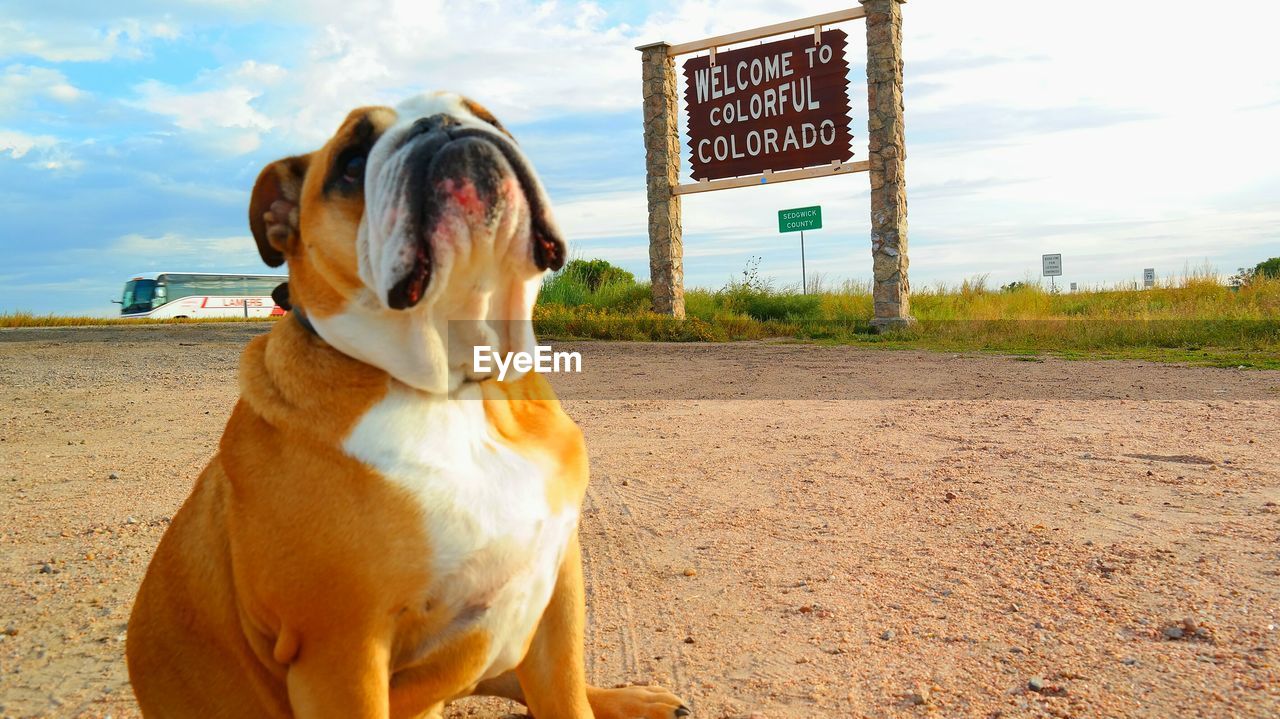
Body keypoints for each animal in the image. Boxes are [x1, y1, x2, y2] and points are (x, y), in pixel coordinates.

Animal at [126, 92, 691, 711]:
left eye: (490, 119)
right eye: (351, 162)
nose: (441, 125)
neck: (459, 386)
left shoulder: (558, 591)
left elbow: (565, 697)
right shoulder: (342, 655)